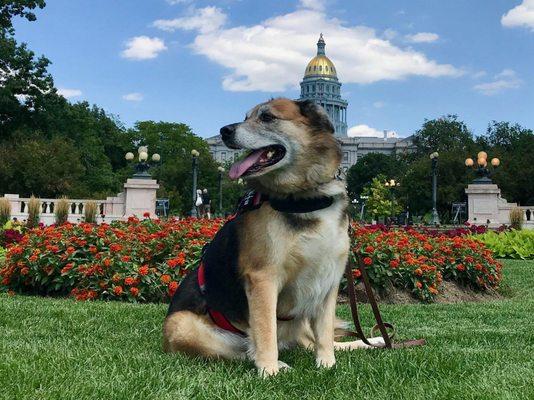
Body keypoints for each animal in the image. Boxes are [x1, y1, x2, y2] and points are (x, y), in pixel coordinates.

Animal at [163, 98, 386, 376]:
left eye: (267, 117)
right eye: (245, 117)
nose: (224, 131)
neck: (305, 198)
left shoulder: (328, 280)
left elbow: (324, 335)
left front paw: (327, 365)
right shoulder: (264, 278)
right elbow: (265, 329)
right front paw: (269, 370)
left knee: (311, 341)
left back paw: (375, 341)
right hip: (184, 325)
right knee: (244, 350)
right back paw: (276, 362)